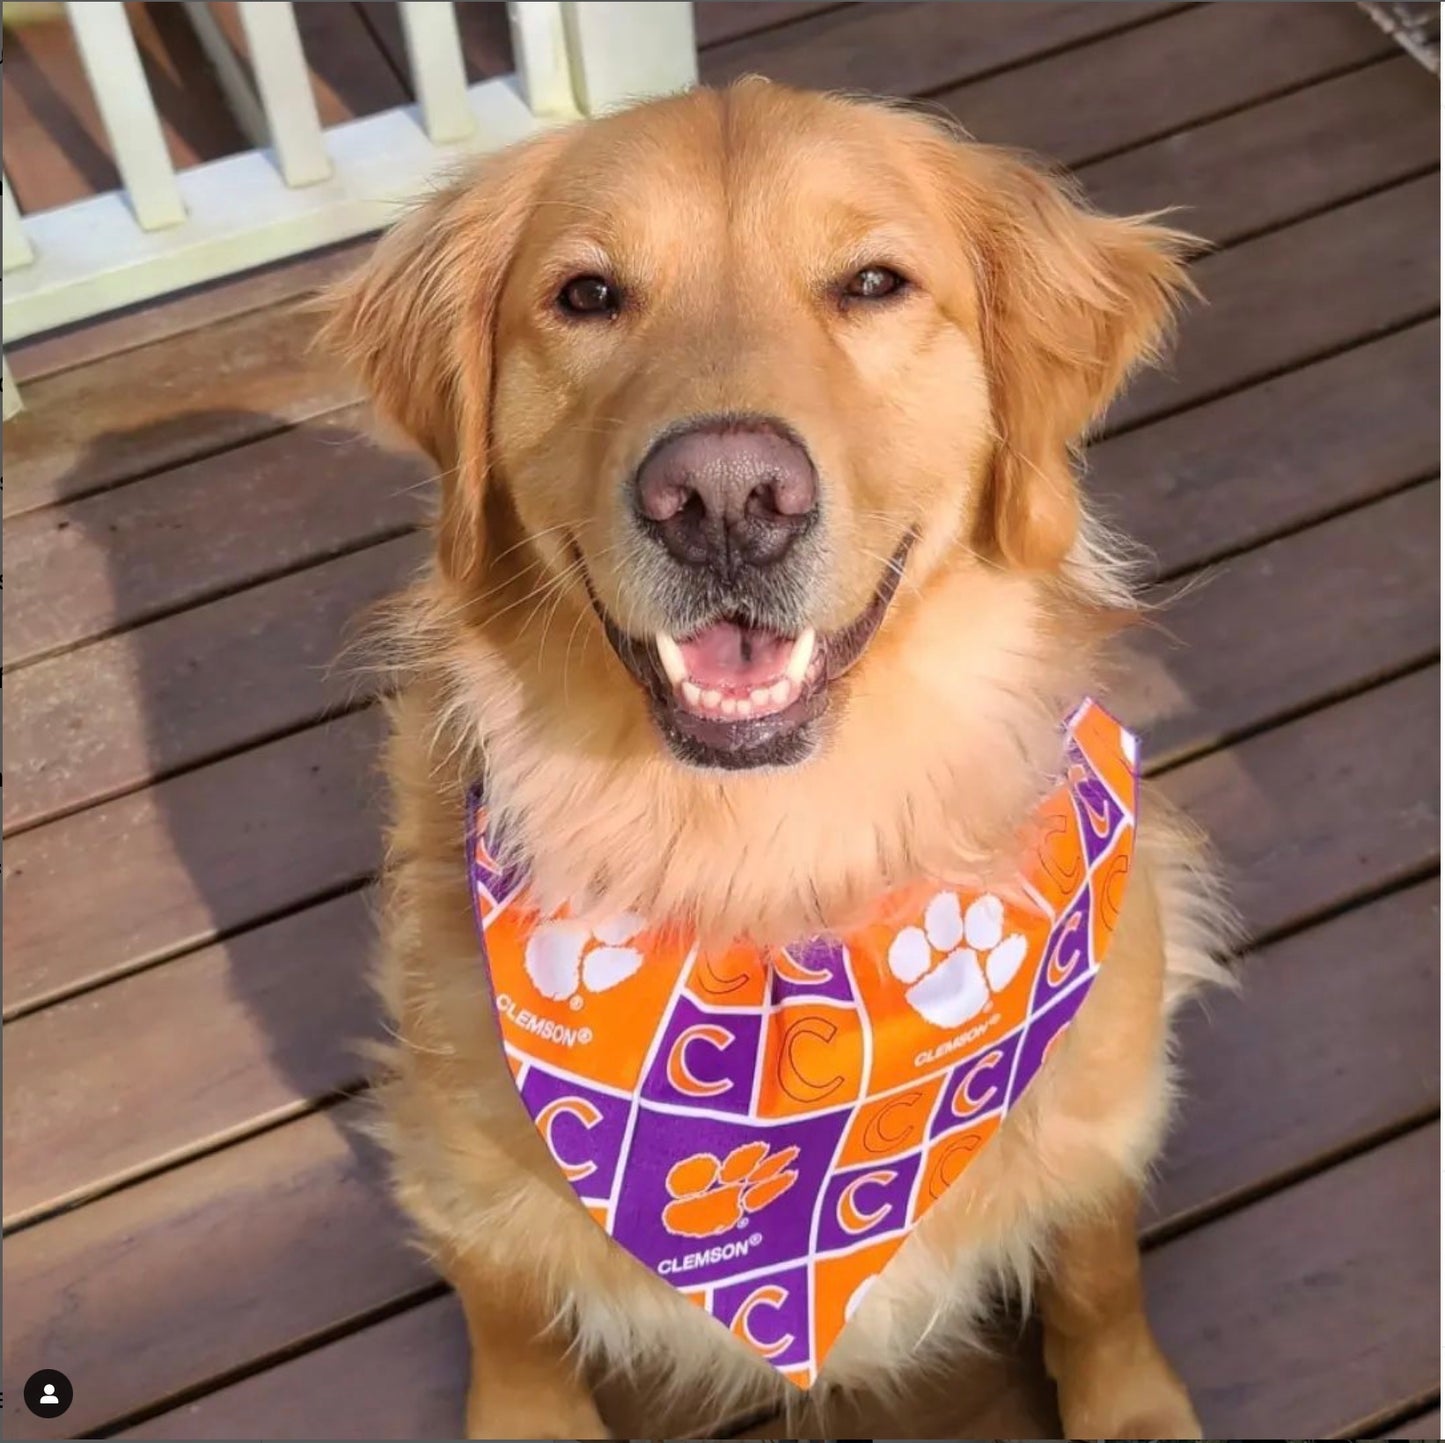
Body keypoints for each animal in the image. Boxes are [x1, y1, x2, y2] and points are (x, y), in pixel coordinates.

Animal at [325, 81, 1231, 1443]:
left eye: (872, 282)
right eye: (586, 295)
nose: (723, 497)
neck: (769, 879)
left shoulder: (1102, 1104)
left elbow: (1095, 1275)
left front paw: (1128, 1406)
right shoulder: (455, 1160)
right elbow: (510, 1318)